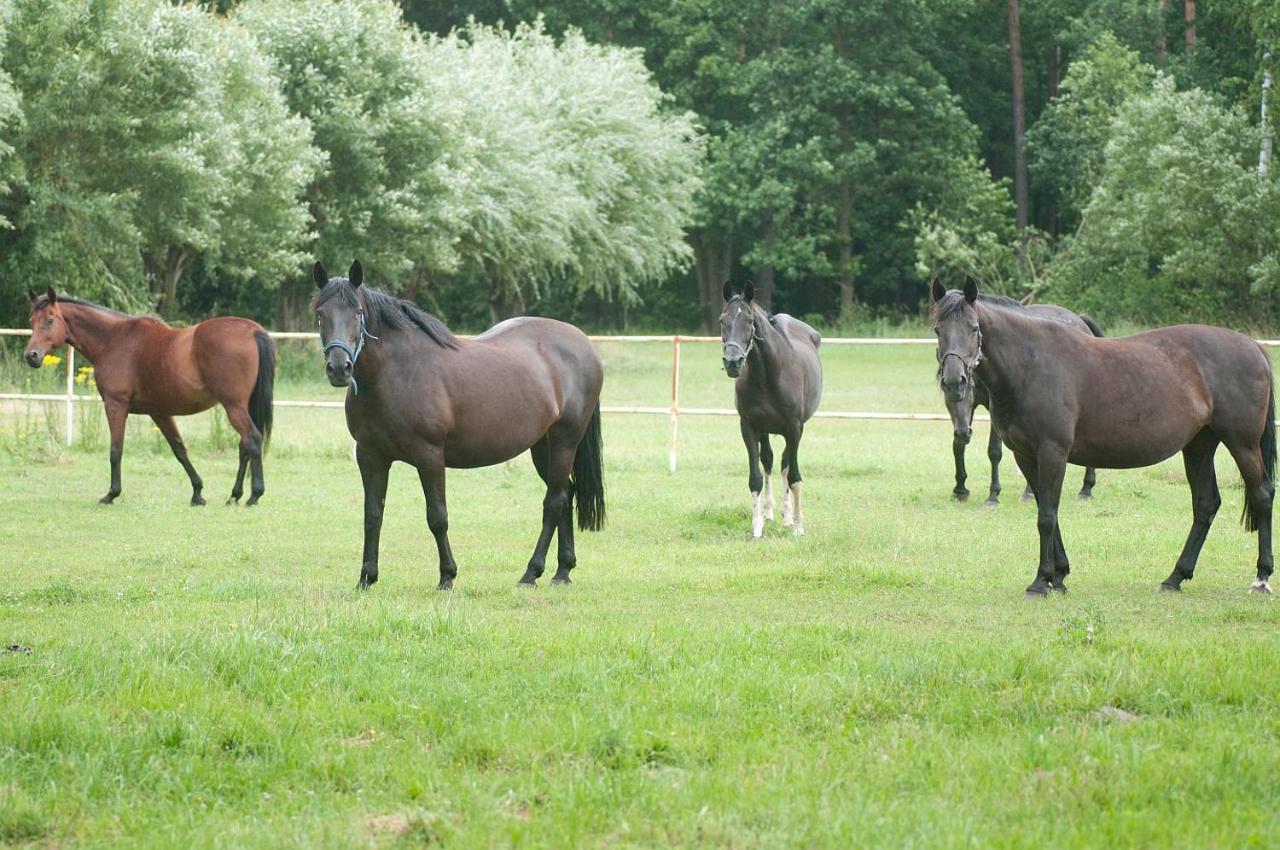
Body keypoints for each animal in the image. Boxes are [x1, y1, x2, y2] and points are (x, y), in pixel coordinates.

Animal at [21, 289, 275, 506]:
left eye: (50, 320)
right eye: (31, 321)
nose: (31, 356)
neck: (113, 340)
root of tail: (253, 330)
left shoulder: (115, 406)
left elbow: (116, 451)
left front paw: (111, 494)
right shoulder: (159, 412)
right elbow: (179, 449)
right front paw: (197, 493)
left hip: (233, 407)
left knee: (252, 439)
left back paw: (254, 495)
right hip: (242, 407)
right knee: (244, 445)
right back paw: (235, 495)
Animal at [312, 261, 606, 591]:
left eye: (358, 312)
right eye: (320, 313)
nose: (339, 368)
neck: (396, 373)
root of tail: (583, 344)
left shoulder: (429, 456)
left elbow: (437, 517)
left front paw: (447, 576)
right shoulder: (370, 456)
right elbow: (372, 516)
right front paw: (366, 577)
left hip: (565, 441)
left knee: (554, 502)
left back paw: (532, 572)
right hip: (543, 447)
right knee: (566, 495)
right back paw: (562, 571)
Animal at [716, 280, 824, 537]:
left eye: (749, 321)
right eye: (722, 320)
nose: (733, 362)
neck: (768, 375)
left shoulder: (794, 428)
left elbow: (794, 476)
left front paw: (798, 526)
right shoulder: (749, 427)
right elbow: (755, 476)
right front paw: (757, 528)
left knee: (785, 464)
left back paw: (788, 516)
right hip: (766, 431)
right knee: (769, 460)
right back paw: (770, 513)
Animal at [936, 280, 1274, 596]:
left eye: (974, 328)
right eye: (938, 329)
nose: (954, 382)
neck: (1031, 365)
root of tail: (1252, 345)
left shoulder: (1052, 452)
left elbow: (1047, 515)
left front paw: (1041, 581)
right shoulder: (1026, 455)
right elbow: (1047, 509)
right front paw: (1059, 576)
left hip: (1243, 444)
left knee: (1262, 495)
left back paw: (1261, 577)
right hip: (1199, 447)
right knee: (1205, 504)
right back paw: (1175, 577)